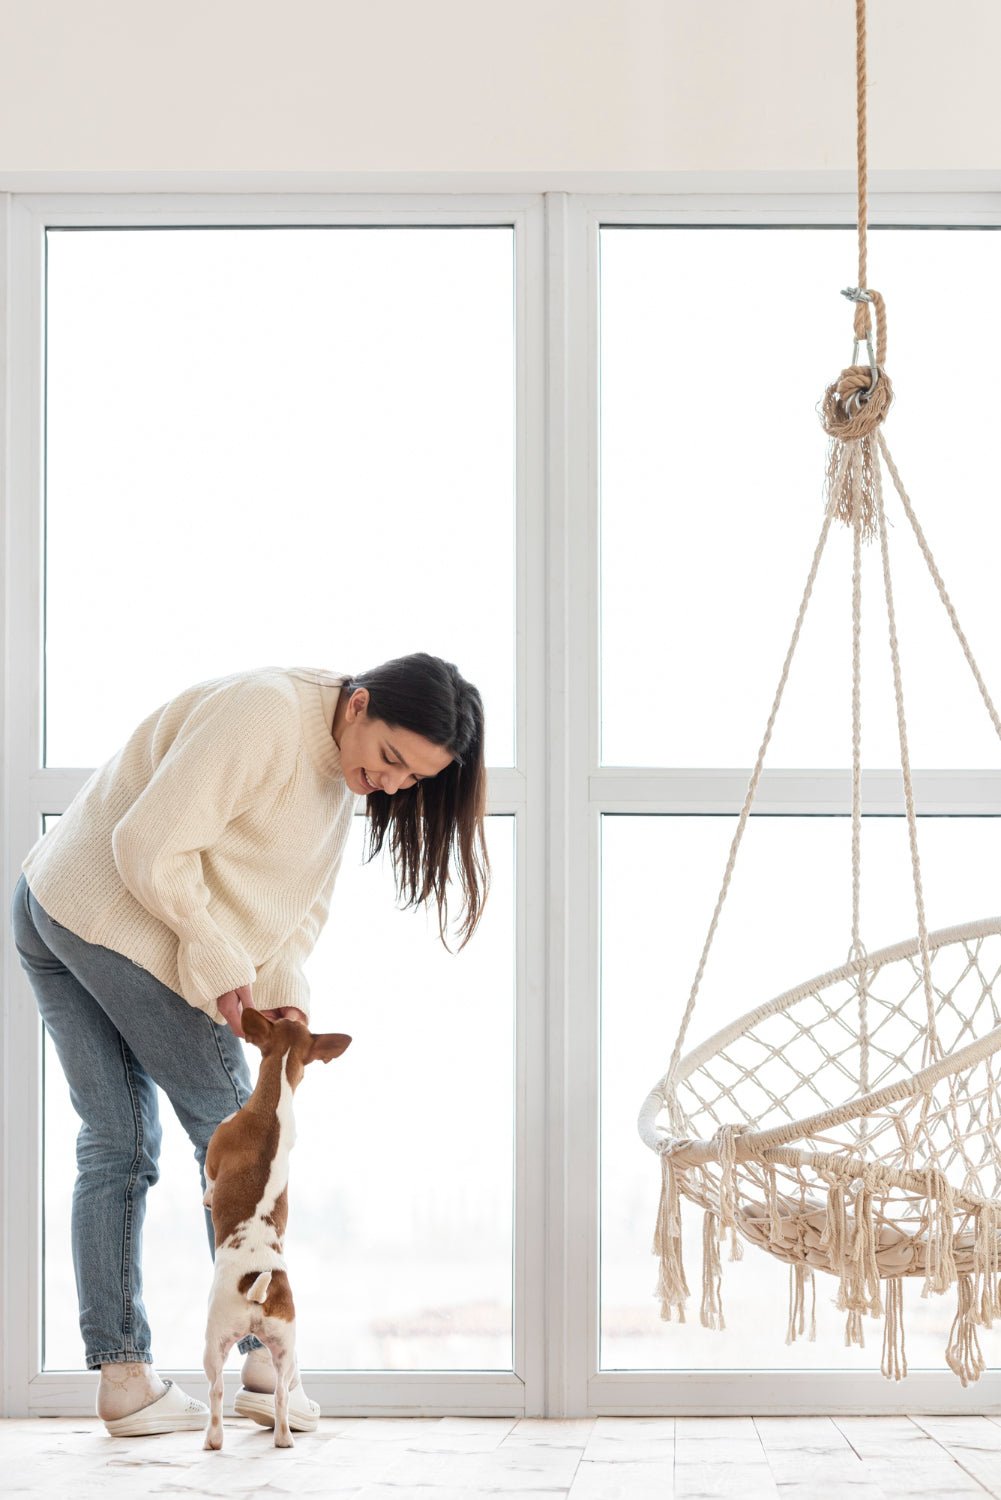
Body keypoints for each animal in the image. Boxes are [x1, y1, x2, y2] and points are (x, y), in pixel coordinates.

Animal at [201, 1002, 352, 1446]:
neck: (272, 1105)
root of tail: (258, 1291)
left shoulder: (214, 1154)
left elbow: (209, 1179)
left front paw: (207, 1196)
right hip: (285, 1346)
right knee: (283, 1392)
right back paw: (284, 1437)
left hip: (214, 1341)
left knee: (216, 1391)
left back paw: (213, 1440)